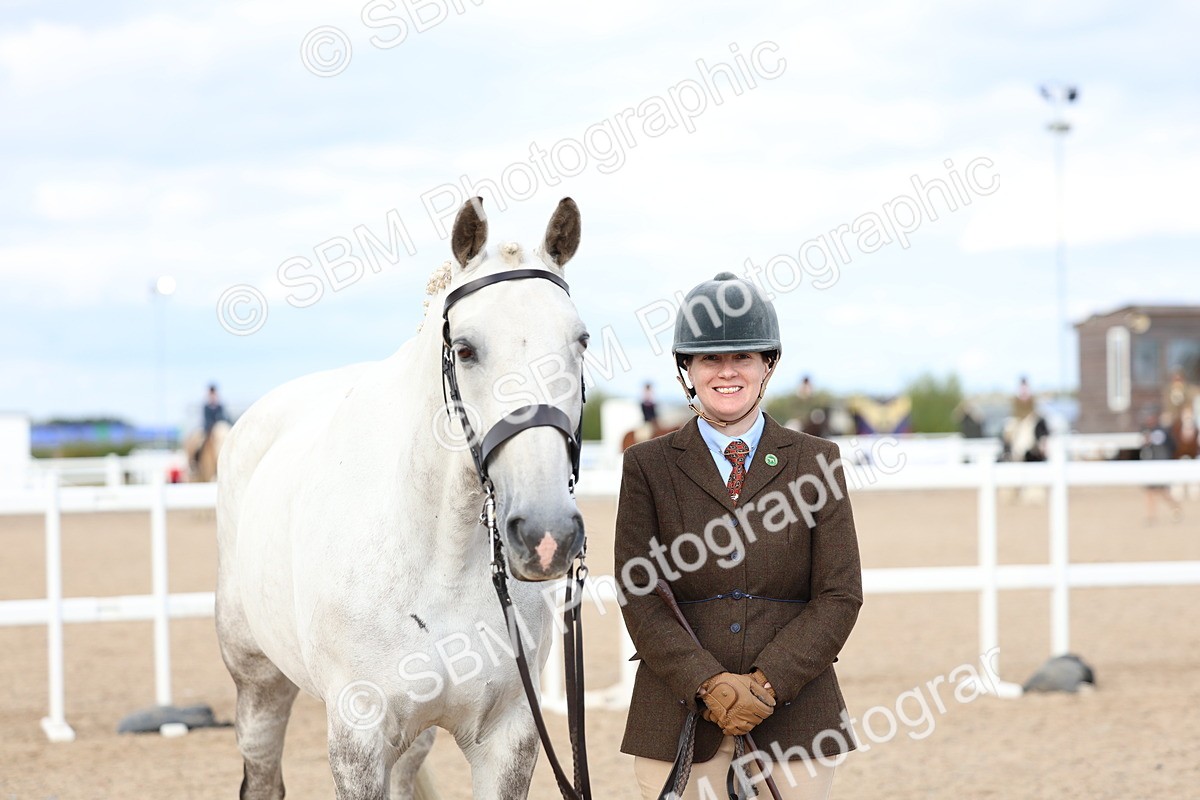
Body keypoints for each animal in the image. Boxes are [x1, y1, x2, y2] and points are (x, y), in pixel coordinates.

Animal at [215, 197, 588, 800]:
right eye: (465, 349)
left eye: (580, 341)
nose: (546, 533)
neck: (441, 557)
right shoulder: (357, 742)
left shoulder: (508, 737)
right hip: (258, 683)